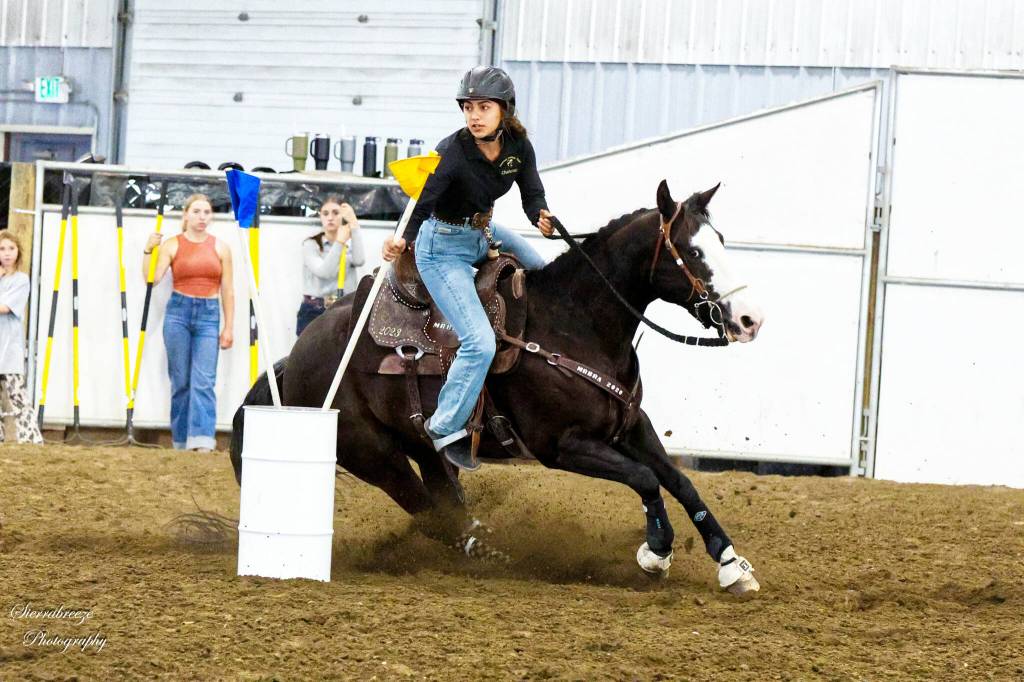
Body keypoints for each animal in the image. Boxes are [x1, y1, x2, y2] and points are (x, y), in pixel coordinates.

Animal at [231, 179, 765, 595]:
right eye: (693, 251)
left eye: (721, 239)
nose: (749, 320)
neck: (574, 323)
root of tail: (295, 357)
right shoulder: (562, 445)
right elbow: (646, 479)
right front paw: (656, 553)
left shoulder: (631, 426)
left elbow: (680, 480)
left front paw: (731, 565)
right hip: (373, 455)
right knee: (432, 515)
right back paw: (494, 555)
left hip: (423, 446)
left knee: (446, 500)